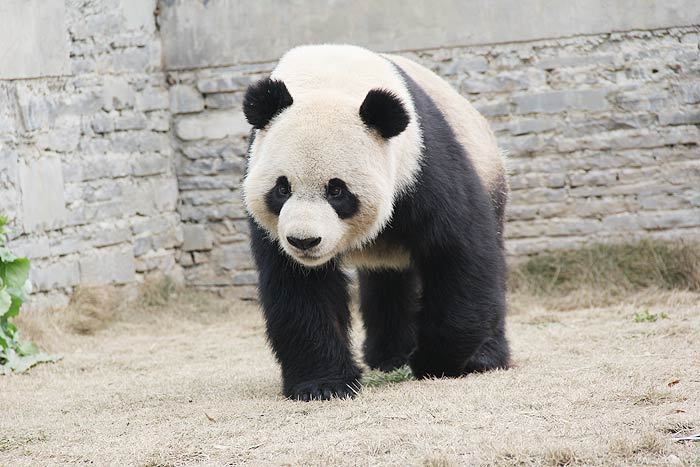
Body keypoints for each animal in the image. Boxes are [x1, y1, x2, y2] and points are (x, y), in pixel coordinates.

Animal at [242, 44, 509, 401]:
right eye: (282, 188)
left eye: (337, 190)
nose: (304, 241)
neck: (328, 78)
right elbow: (299, 287)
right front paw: (323, 385)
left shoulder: (422, 164)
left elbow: (459, 252)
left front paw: (434, 361)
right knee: (387, 282)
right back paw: (389, 355)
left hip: (488, 170)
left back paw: (484, 357)